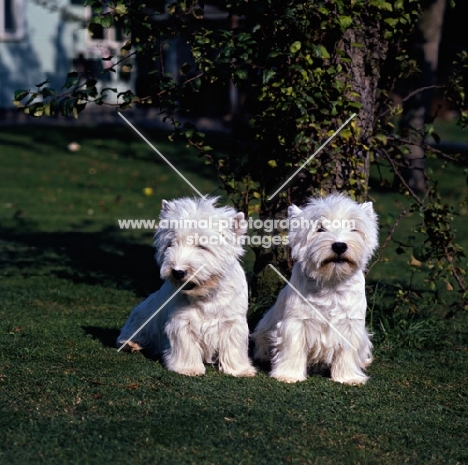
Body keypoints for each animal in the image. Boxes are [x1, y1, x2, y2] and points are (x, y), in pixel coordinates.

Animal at [117, 196, 256, 376]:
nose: (178, 272)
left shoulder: (233, 321)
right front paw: (189, 368)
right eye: (170, 244)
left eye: (202, 246)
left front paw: (240, 370)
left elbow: (233, 347)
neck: (206, 296)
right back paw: (131, 344)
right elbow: (186, 347)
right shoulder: (181, 322)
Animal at [250, 193, 378, 384]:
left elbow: (347, 352)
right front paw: (288, 375)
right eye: (320, 228)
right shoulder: (296, 322)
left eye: (353, 228)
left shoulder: (351, 325)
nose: (339, 245)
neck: (331, 283)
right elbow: (293, 348)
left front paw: (349, 377)